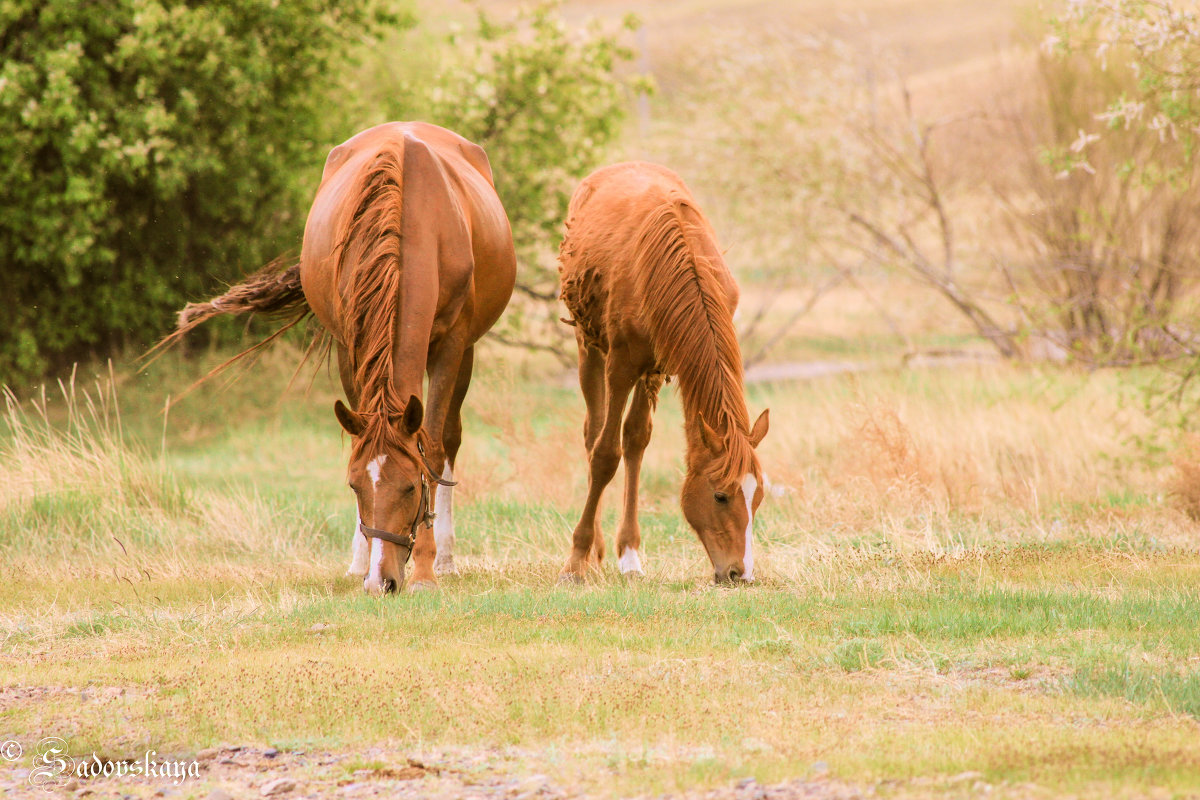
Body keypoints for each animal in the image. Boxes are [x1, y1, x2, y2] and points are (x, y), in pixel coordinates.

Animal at [160, 120, 516, 594]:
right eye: (353, 487)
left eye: (411, 488)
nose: (382, 581)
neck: (415, 224)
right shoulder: (351, 345)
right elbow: (359, 435)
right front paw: (362, 558)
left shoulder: (452, 344)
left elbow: (436, 448)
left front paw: (424, 570)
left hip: (467, 353)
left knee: (451, 437)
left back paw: (445, 557)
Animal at [559, 163, 768, 585]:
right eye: (720, 495)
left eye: (758, 496)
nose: (740, 572)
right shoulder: (621, 364)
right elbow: (605, 455)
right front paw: (575, 561)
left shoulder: (658, 366)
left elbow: (635, 440)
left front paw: (630, 556)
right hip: (588, 346)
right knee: (594, 434)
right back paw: (592, 552)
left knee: (633, 440)